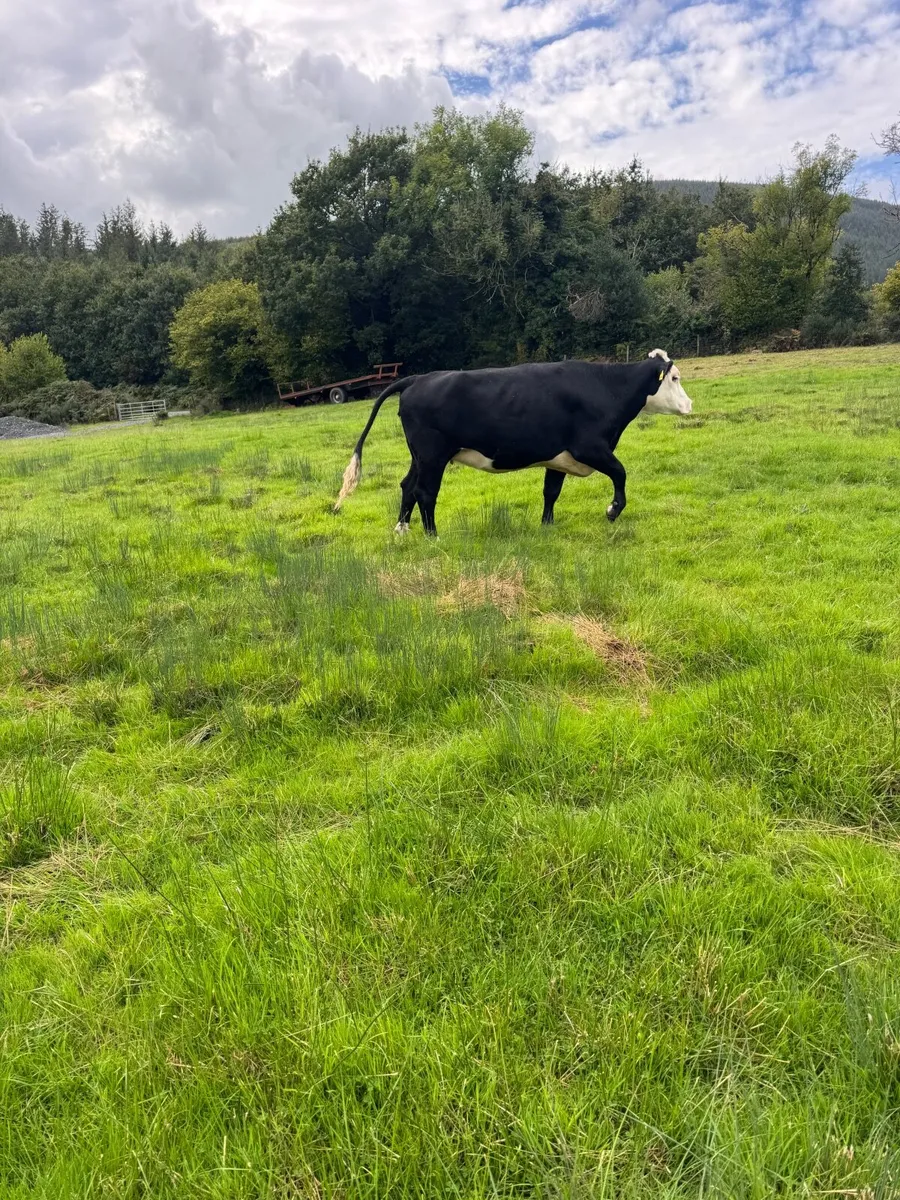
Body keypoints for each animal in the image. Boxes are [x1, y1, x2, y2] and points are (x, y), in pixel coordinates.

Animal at [334, 349, 693, 536]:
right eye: (675, 378)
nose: (689, 405)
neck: (605, 388)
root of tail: (419, 378)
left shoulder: (558, 456)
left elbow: (551, 491)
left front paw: (547, 526)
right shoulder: (589, 447)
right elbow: (620, 473)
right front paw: (613, 510)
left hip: (420, 456)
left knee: (407, 485)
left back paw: (402, 530)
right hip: (434, 455)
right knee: (425, 492)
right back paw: (432, 535)